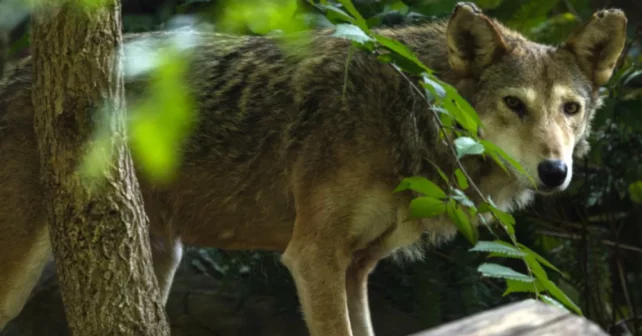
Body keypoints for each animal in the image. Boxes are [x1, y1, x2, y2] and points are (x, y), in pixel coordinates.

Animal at [0, 2, 624, 336]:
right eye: (514, 104)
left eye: (570, 109)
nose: (555, 171)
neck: (406, 111)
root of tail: (16, 69)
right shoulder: (312, 257)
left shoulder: (356, 268)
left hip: (156, 261)